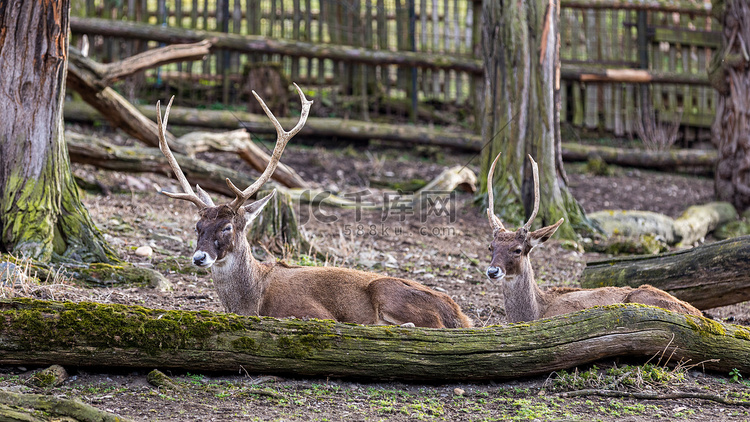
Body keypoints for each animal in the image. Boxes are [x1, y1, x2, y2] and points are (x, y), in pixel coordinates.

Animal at [156, 84, 472, 330]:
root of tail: (460, 315)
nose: (199, 257)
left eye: (227, 227)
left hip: (388, 291)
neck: (252, 300)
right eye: (197, 226)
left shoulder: (313, 312)